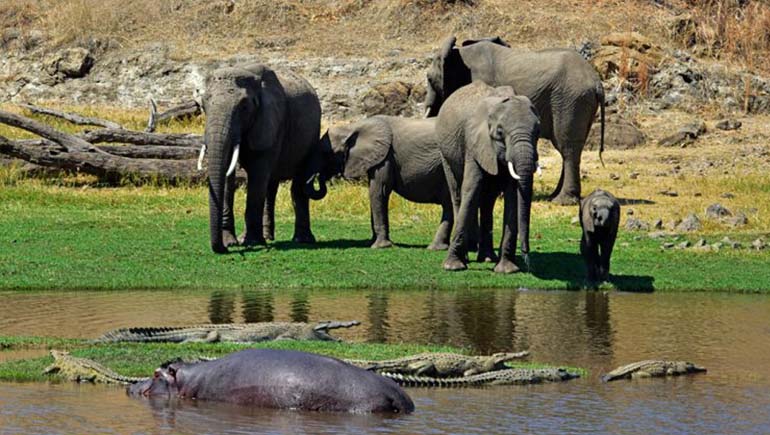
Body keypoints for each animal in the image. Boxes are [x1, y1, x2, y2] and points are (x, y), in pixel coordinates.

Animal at [200, 63, 322, 254]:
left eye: (244, 107)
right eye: (203, 105)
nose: (223, 249)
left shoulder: (271, 121)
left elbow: (258, 176)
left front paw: (250, 242)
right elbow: (228, 174)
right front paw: (231, 242)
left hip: (312, 135)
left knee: (297, 185)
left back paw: (302, 240)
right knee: (271, 187)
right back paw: (268, 237)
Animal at [316, 116, 450, 250]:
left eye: (326, 154)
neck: (352, 127)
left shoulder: (386, 158)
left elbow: (378, 192)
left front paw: (380, 246)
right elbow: (374, 194)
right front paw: (371, 243)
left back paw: (434, 248)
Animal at [424, 36, 604, 206]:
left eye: (429, 79)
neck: (458, 54)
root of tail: (596, 82)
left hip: (570, 101)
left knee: (567, 147)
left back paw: (562, 201)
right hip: (579, 102)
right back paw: (554, 196)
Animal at [436, 82, 536, 274]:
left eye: (538, 131)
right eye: (500, 132)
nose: (527, 258)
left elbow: (512, 197)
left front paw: (507, 270)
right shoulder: (474, 144)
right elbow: (471, 189)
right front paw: (453, 267)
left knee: (488, 201)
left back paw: (488, 258)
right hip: (446, 153)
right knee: (458, 194)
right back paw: (467, 257)